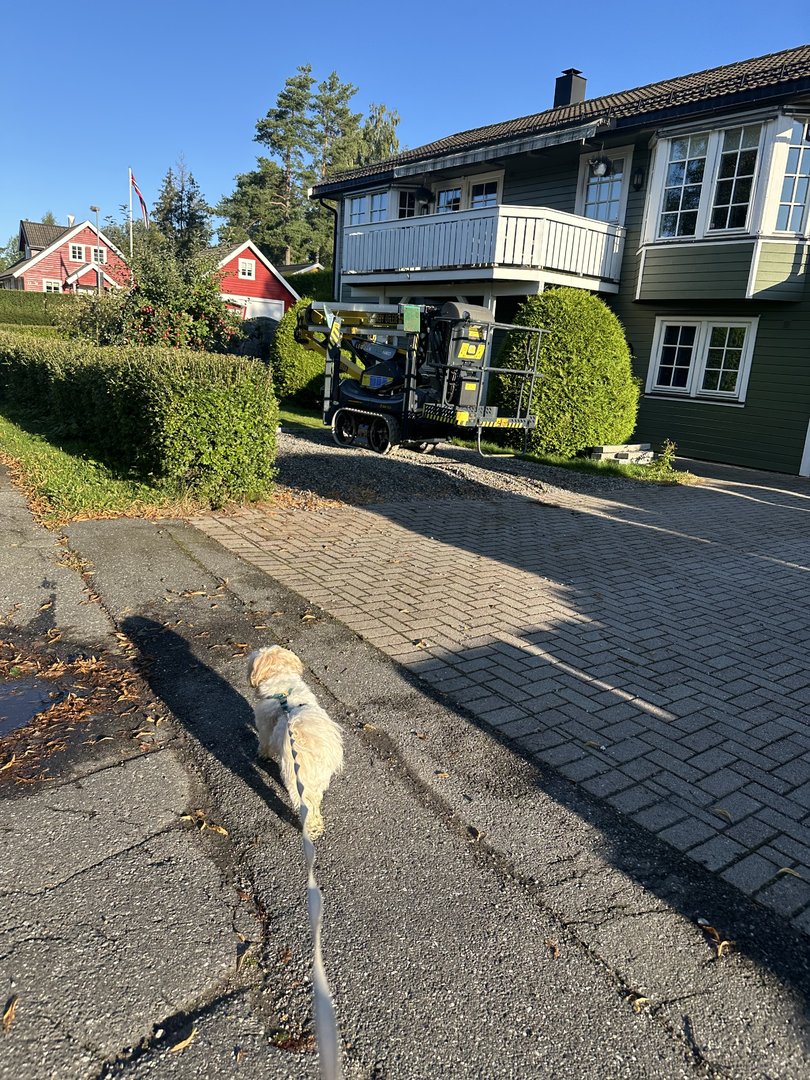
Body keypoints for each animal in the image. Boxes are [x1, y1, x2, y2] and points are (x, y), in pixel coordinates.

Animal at [247, 646, 343, 839]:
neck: (283, 689)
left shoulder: (264, 723)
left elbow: (264, 742)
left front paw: (262, 754)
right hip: (319, 779)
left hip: (294, 778)